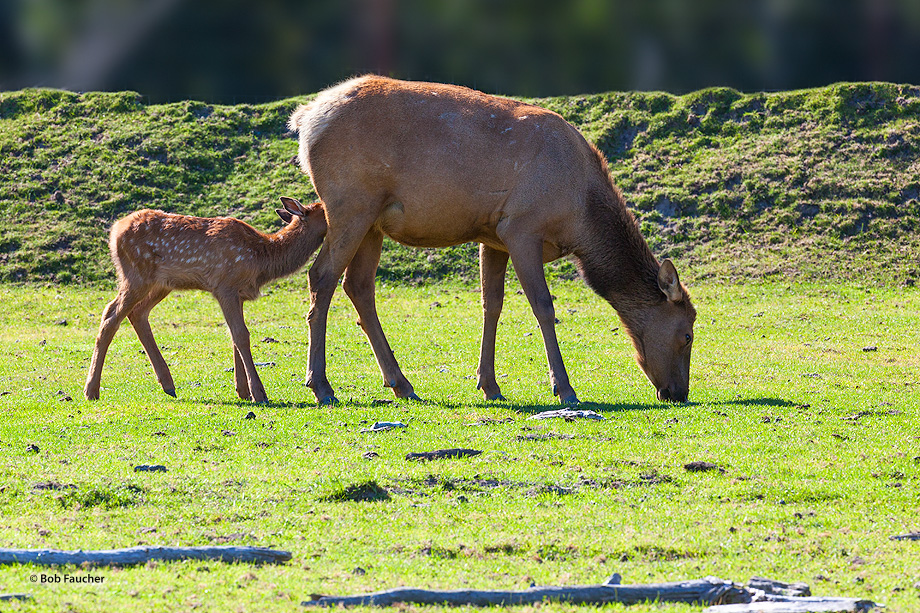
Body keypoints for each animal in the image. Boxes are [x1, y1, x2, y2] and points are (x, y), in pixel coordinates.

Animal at [83, 196, 328, 404]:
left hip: (162, 283)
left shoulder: (238, 294)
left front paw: (243, 391)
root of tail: (114, 231)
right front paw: (259, 393)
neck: (262, 258)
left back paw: (168, 385)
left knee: (137, 313)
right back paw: (91, 390)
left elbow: (235, 335)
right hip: (135, 275)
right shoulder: (225, 286)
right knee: (111, 315)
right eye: (324, 209)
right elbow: (241, 335)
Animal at [288, 74, 696, 404]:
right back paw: (322, 385)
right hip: (349, 204)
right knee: (321, 277)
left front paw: (490, 385)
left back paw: (401, 383)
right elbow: (542, 306)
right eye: (688, 334)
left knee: (358, 286)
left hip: (372, 221)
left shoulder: (493, 236)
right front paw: (564, 388)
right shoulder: (521, 227)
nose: (678, 393)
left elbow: (492, 304)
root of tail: (305, 119)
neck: (581, 217)